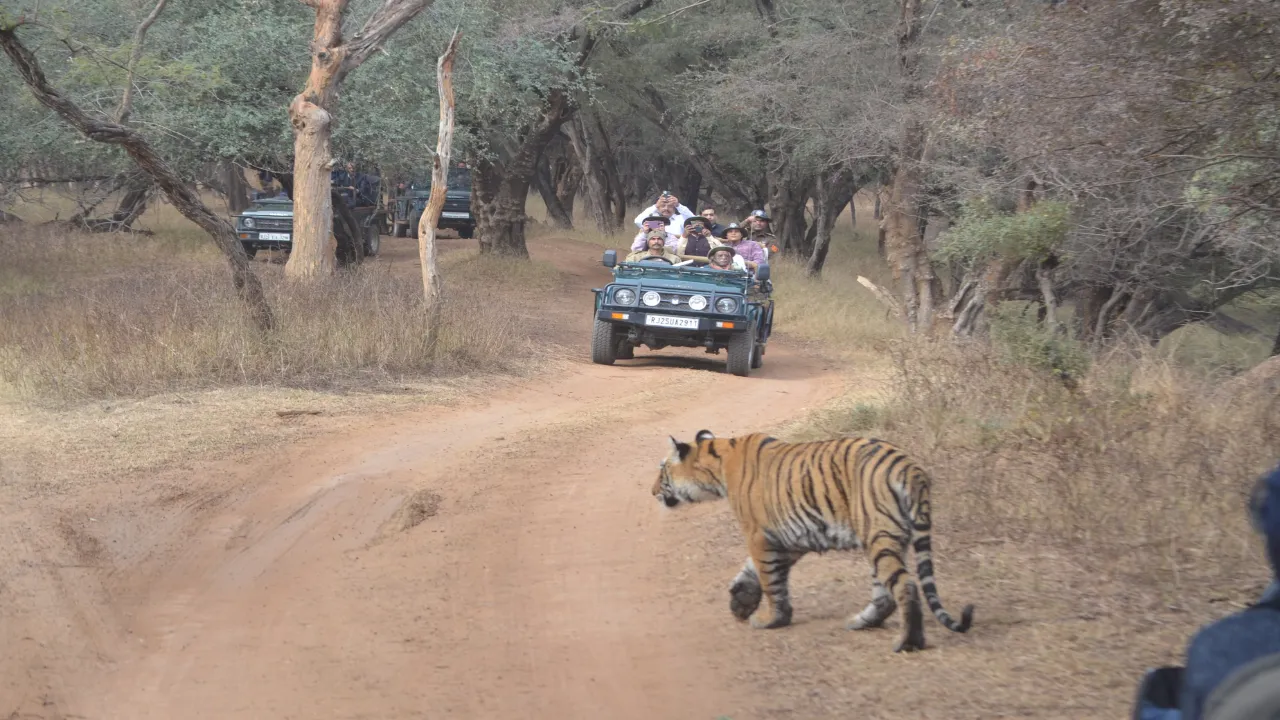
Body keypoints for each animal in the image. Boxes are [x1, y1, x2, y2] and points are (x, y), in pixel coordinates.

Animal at [655, 427, 972, 653]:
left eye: (662, 470)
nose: (652, 491)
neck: (717, 463)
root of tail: (910, 467)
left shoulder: (759, 534)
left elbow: (770, 580)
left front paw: (772, 620)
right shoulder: (789, 537)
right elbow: (757, 572)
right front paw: (742, 600)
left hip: (878, 534)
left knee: (905, 586)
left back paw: (908, 642)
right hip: (886, 539)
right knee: (885, 594)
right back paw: (861, 622)